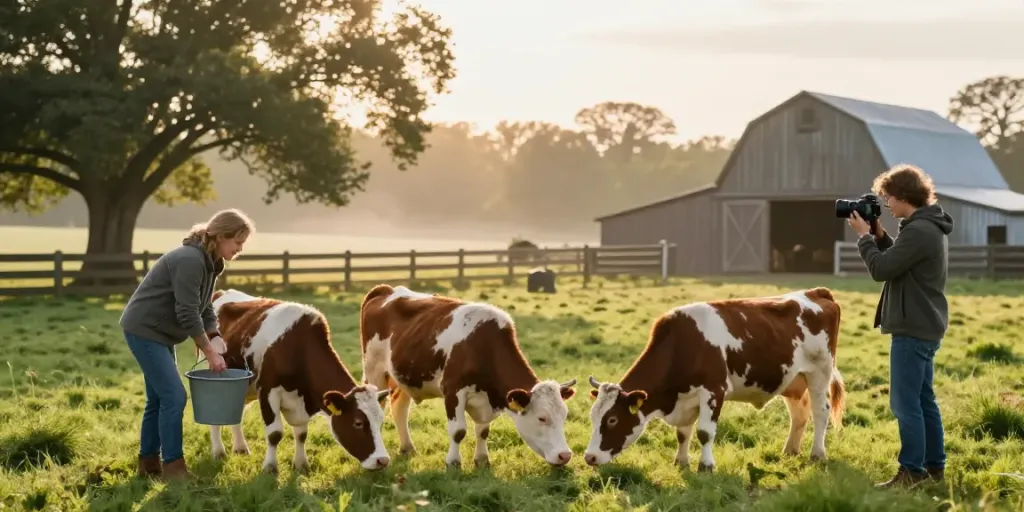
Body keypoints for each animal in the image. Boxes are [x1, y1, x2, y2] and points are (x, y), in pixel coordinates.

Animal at [202, 289, 391, 474]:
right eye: (358, 423)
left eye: (381, 421)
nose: (382, 460)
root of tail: (222, 292)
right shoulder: (268, 390)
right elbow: (275, 433)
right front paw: (270, 467)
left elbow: (301, 434)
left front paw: (301, 464)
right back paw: (219, 452)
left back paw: (240, 448)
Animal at [359, 284, 578, 469]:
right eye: (542, 418)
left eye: (564, 415)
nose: (565, 455)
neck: (483, 346)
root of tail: (385, 290)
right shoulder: (452, 391)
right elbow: (458, 431)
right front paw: (453, 462)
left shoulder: (485, 399)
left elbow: (483, 431)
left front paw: (482, 459)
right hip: (374, 372)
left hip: (403, 377)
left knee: (400, 408)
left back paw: (407, 448)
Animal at [584, 287, 846, 473]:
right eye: (593, 417)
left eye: (612, 420)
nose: (590, 457)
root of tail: (816, 292)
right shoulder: (685, 398)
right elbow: (683, 434)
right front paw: (681, 462)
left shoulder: (713, 391)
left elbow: (704, 433)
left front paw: (706, 466)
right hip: (793, 380)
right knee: (799, 414)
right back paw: (790, 450)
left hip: (820, 371)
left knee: (820, 411)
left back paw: (817, 453)